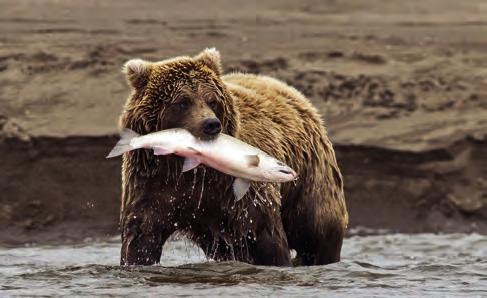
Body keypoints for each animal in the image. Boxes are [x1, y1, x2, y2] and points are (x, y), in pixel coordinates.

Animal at [117, 48, 348, 266]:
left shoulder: (238, 194)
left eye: (212, 100)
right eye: (183, 101)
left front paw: (278, 261)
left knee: (317, 229)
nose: (211, 124)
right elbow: (142, 235)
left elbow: (265, 237)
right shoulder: (153, 183)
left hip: (310, 177)